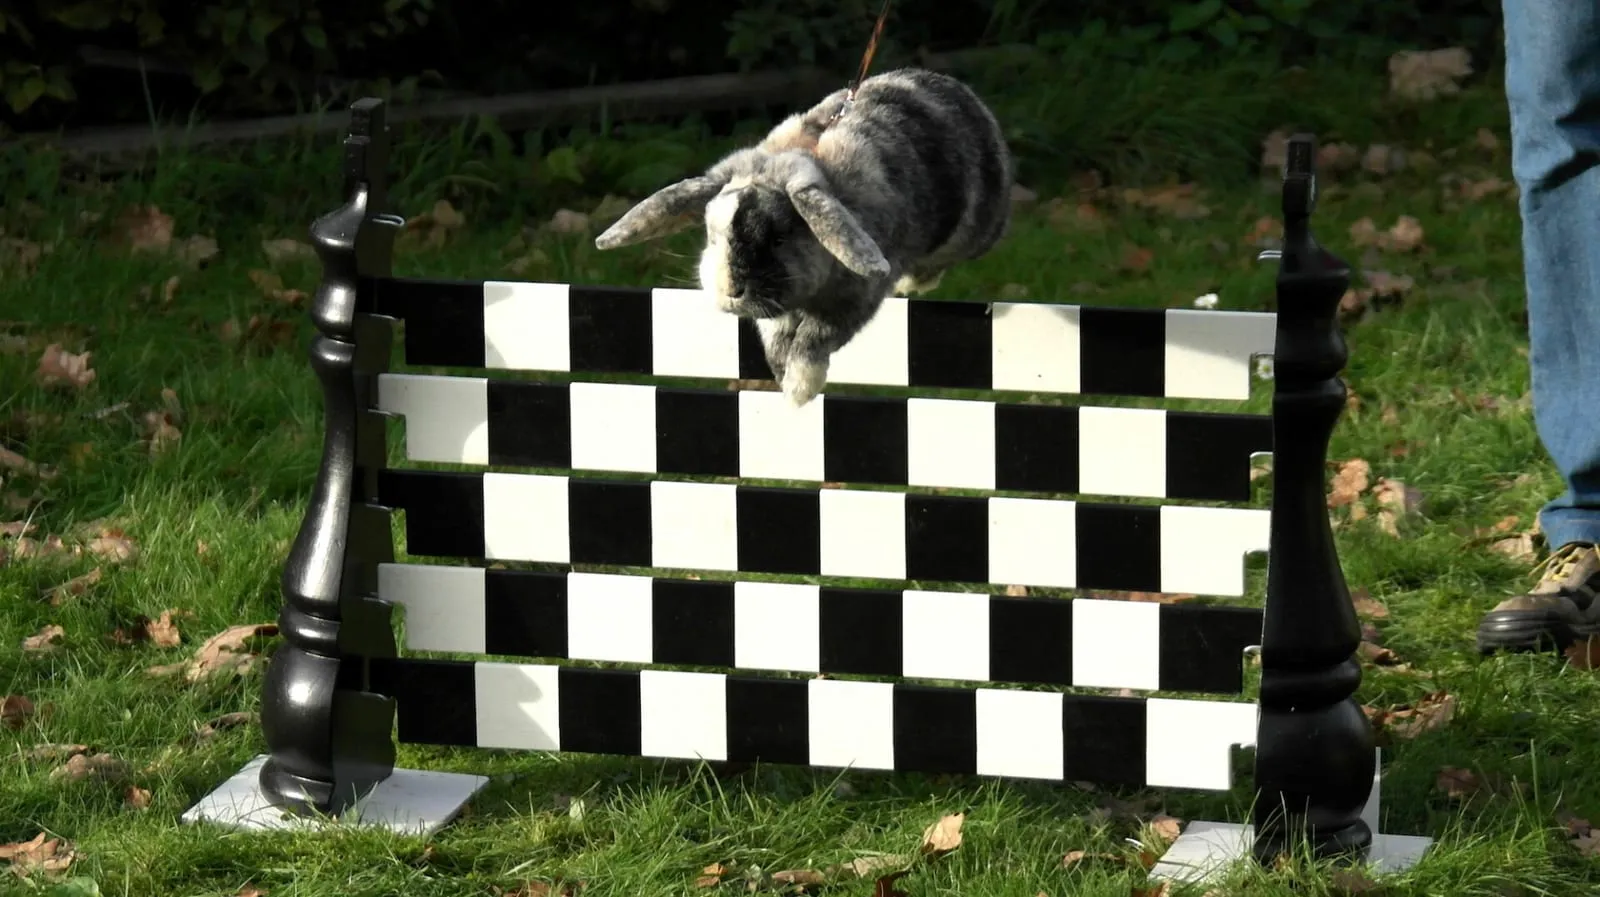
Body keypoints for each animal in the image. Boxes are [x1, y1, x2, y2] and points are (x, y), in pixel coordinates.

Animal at [592, 66, 1012, 406]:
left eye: (778, 240)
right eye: (713, 238)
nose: (731, 290)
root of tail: (956, 88)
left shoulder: (851, 299)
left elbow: (814, 338)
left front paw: (799, 391)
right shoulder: (776, 315)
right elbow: (778, 342)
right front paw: (782, 378)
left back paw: (914, 282)